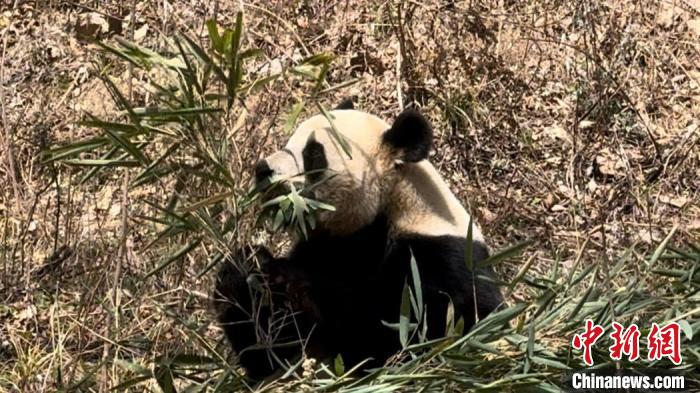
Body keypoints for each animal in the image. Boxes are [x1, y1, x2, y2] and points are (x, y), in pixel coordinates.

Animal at [211, 99, 500, 378]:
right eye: (288, 144)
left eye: (313, 154)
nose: (262, 170)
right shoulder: (324, 247)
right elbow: (271, 350)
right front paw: (247, 264)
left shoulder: (439, 261)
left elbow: (398, 335)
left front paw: (288, 279)